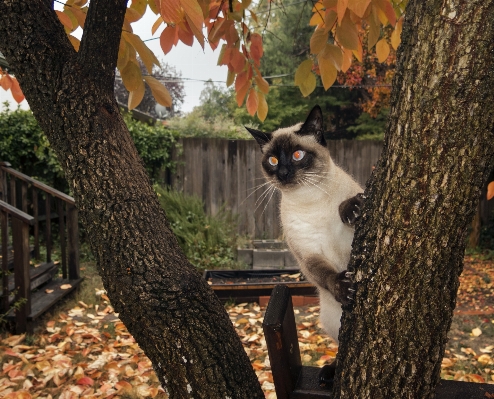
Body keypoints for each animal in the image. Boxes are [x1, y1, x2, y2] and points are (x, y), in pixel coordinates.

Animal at [246, 105, 362, 384]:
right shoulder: (308, 256)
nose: (284, 173)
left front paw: (350, 209)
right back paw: (329, 374)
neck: (311, 199)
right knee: (340, 347)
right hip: (330, 320)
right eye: (273, 161)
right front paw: (344, 287)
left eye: (297, 155)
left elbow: (346, 207)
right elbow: (326, 274)